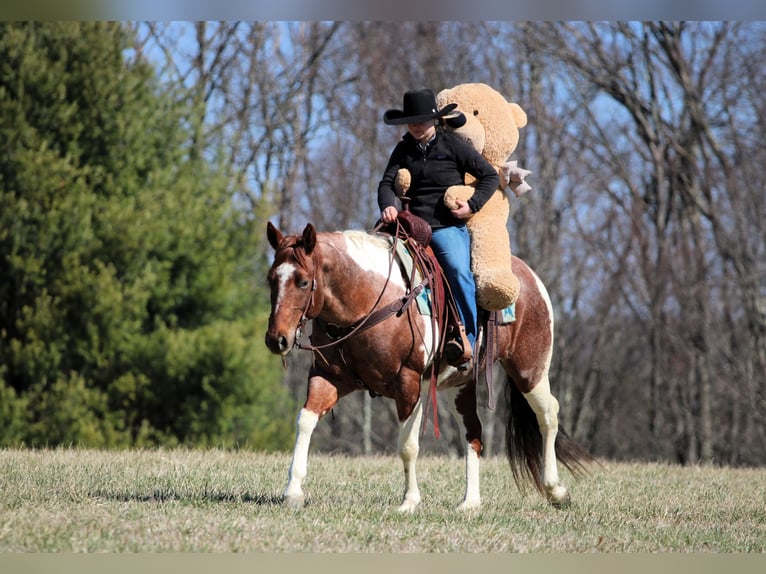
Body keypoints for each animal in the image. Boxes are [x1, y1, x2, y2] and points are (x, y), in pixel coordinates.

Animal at [264, 220, 590, 512]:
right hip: (461, 385)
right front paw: (293, 491)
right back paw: (470, 502)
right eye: (271, 279)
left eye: (302, 281)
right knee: (473, 433)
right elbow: (304, 421)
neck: (369, 300)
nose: (276, 339)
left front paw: (409, 501)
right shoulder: (328, 378)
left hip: (529, 370)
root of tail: (530, 277)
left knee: (548, 415)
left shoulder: (408, 385)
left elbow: (407, 446)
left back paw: (556, 490)